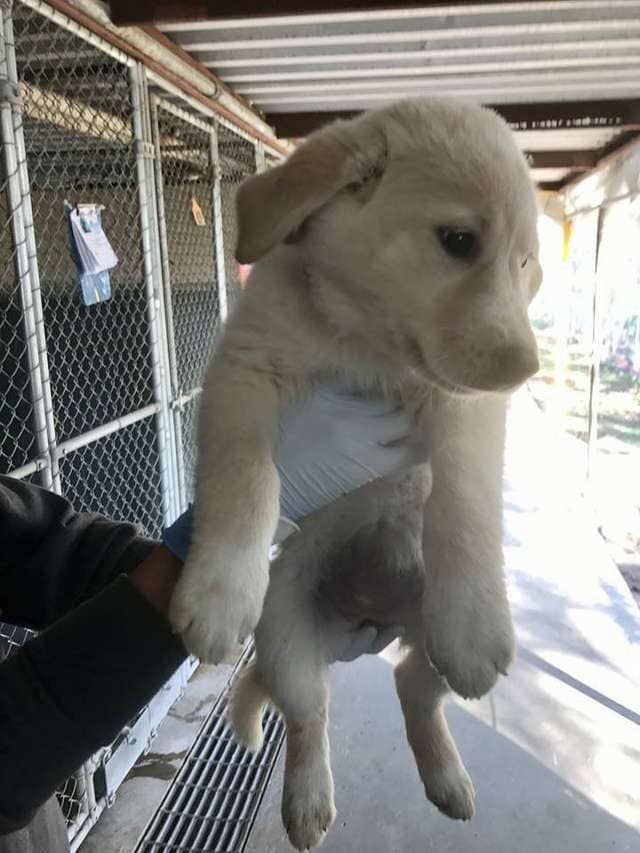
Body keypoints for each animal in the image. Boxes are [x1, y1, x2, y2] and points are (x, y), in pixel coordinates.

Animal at [169, 95, 540, 844]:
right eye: (459, 240)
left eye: (524, 263)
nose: (528, 371)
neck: (365, 342)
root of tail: (375, 617)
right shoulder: (243, 372)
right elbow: (246, 479)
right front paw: (219, 591)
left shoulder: (463, 408)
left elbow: (464, 497)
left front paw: (477, 617)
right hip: (282, 632)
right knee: (309, 714)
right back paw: (307, 801)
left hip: (426, 635)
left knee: (416, 687)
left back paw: (446, 775)